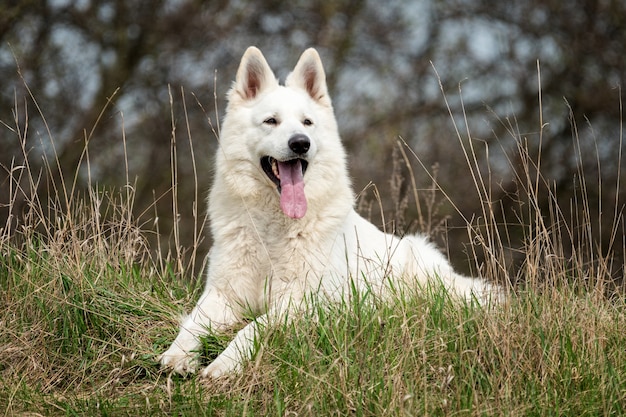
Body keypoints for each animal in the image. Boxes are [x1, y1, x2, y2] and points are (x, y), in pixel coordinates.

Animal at [161, 46, 498, 376]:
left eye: (307, 123)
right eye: (271, 121)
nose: (300, 143)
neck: (273, 230)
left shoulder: (302, 302)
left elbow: (254, 327)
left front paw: (224, 363)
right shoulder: (221, 294)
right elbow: (192, 325)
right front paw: (177, 355)